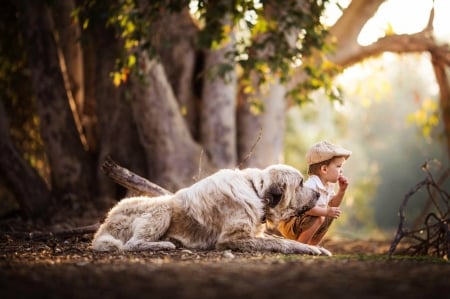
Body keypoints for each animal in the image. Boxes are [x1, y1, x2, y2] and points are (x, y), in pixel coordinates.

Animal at [91, 164, 330, 255]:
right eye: (300, 184)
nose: (319, 195)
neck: (255, 192)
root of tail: (106, 222)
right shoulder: (231, 238)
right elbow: (280, 242)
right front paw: (310, 249)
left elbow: (279, 239)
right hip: (162, 208)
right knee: (131, 244)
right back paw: (165, 244)